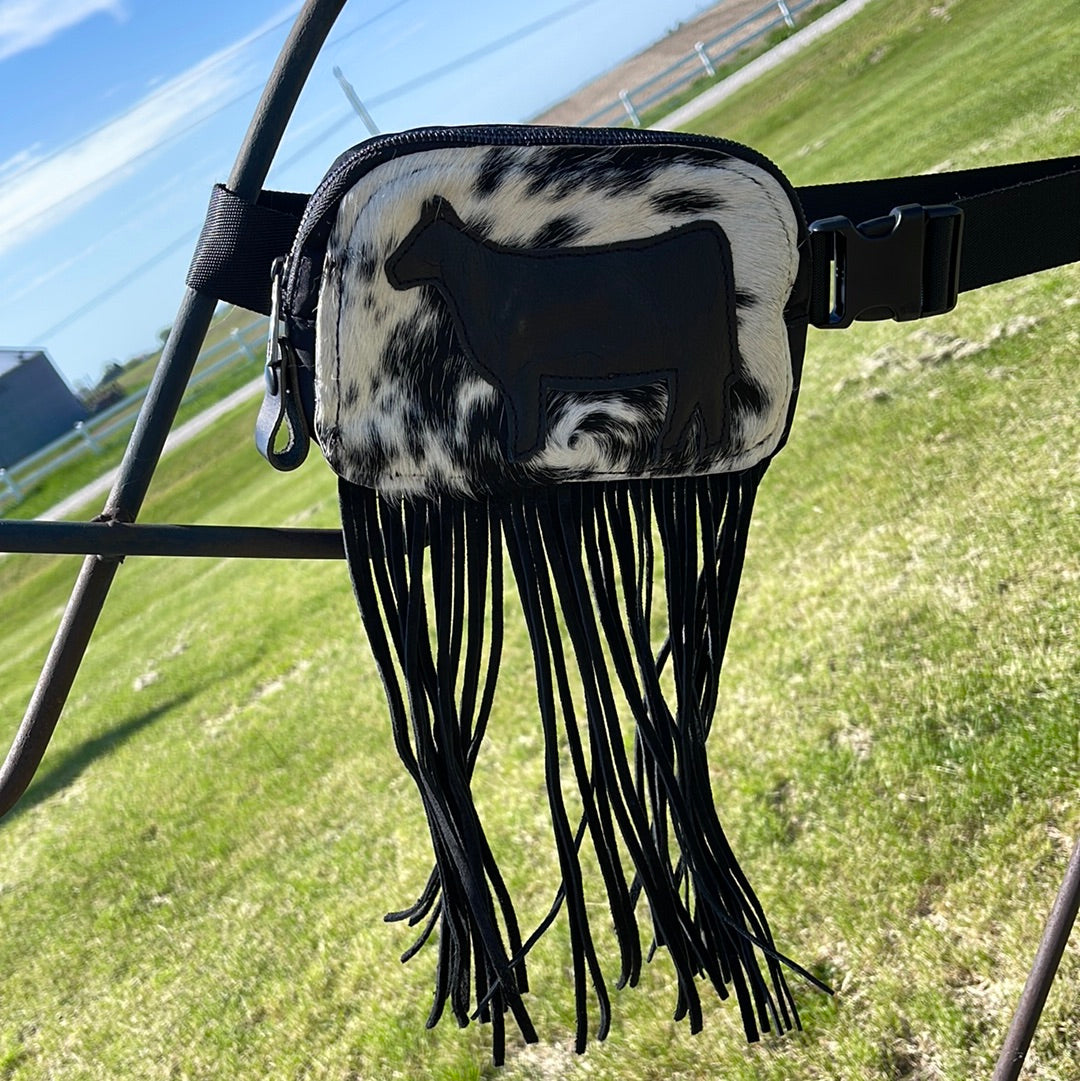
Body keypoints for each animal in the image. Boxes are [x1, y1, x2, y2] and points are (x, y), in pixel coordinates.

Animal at [385, 195, 744, 463]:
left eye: (420, 238)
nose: (391, 270)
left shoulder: (522, 372)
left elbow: (527, 417)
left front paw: (523, 454)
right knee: (698, 393)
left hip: (698, 348)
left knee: (698, 391)